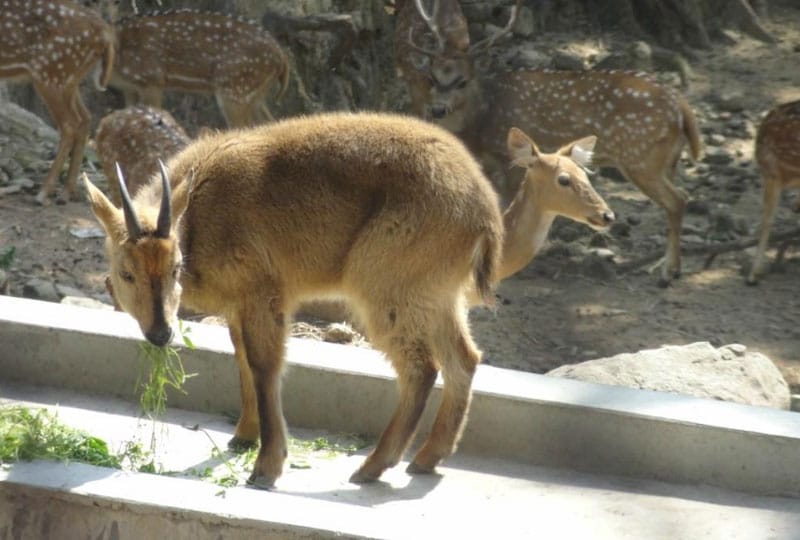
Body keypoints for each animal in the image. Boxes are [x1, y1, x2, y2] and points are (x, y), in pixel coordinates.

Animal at [0, 1, 115, 204]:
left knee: (69, 124)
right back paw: (67, 191)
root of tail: (105, 33)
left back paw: (45, 192)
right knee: (84, 118)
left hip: (50, 72)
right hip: (69, 77)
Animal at [84, 112, 504, 488]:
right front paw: (243, 436)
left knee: (422, 367)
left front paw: (266, 466)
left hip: (386, 290)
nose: (161, 333)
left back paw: (372, 467)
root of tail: (485, 211)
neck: (203, 214)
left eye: (176, 267)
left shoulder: (265, 294)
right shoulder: (239, 305)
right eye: (127, 272)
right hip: (438, 295)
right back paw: (427, 458)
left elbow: (264, 365)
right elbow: (241, 358)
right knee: (464, 359)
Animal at [108, 11, 290, 129]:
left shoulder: (152, 79)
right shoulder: (129, 88)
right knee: (269, 122)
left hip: (236, 87)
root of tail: (281, 56)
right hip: (254, 94)